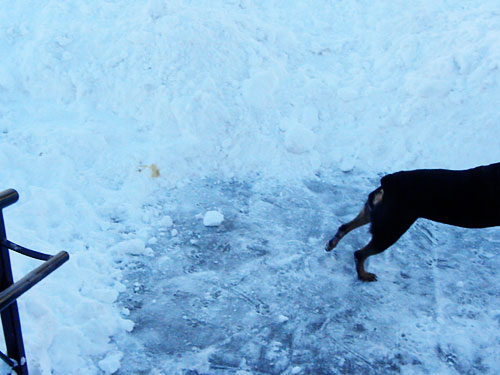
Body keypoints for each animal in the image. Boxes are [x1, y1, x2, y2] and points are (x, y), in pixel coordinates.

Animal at [324, 163, 500, 284]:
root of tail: (388, 182)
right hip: (391, 229)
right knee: (359, 253)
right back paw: (363, 275)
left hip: (377, 214)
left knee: (345, 227)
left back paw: (331, 244)